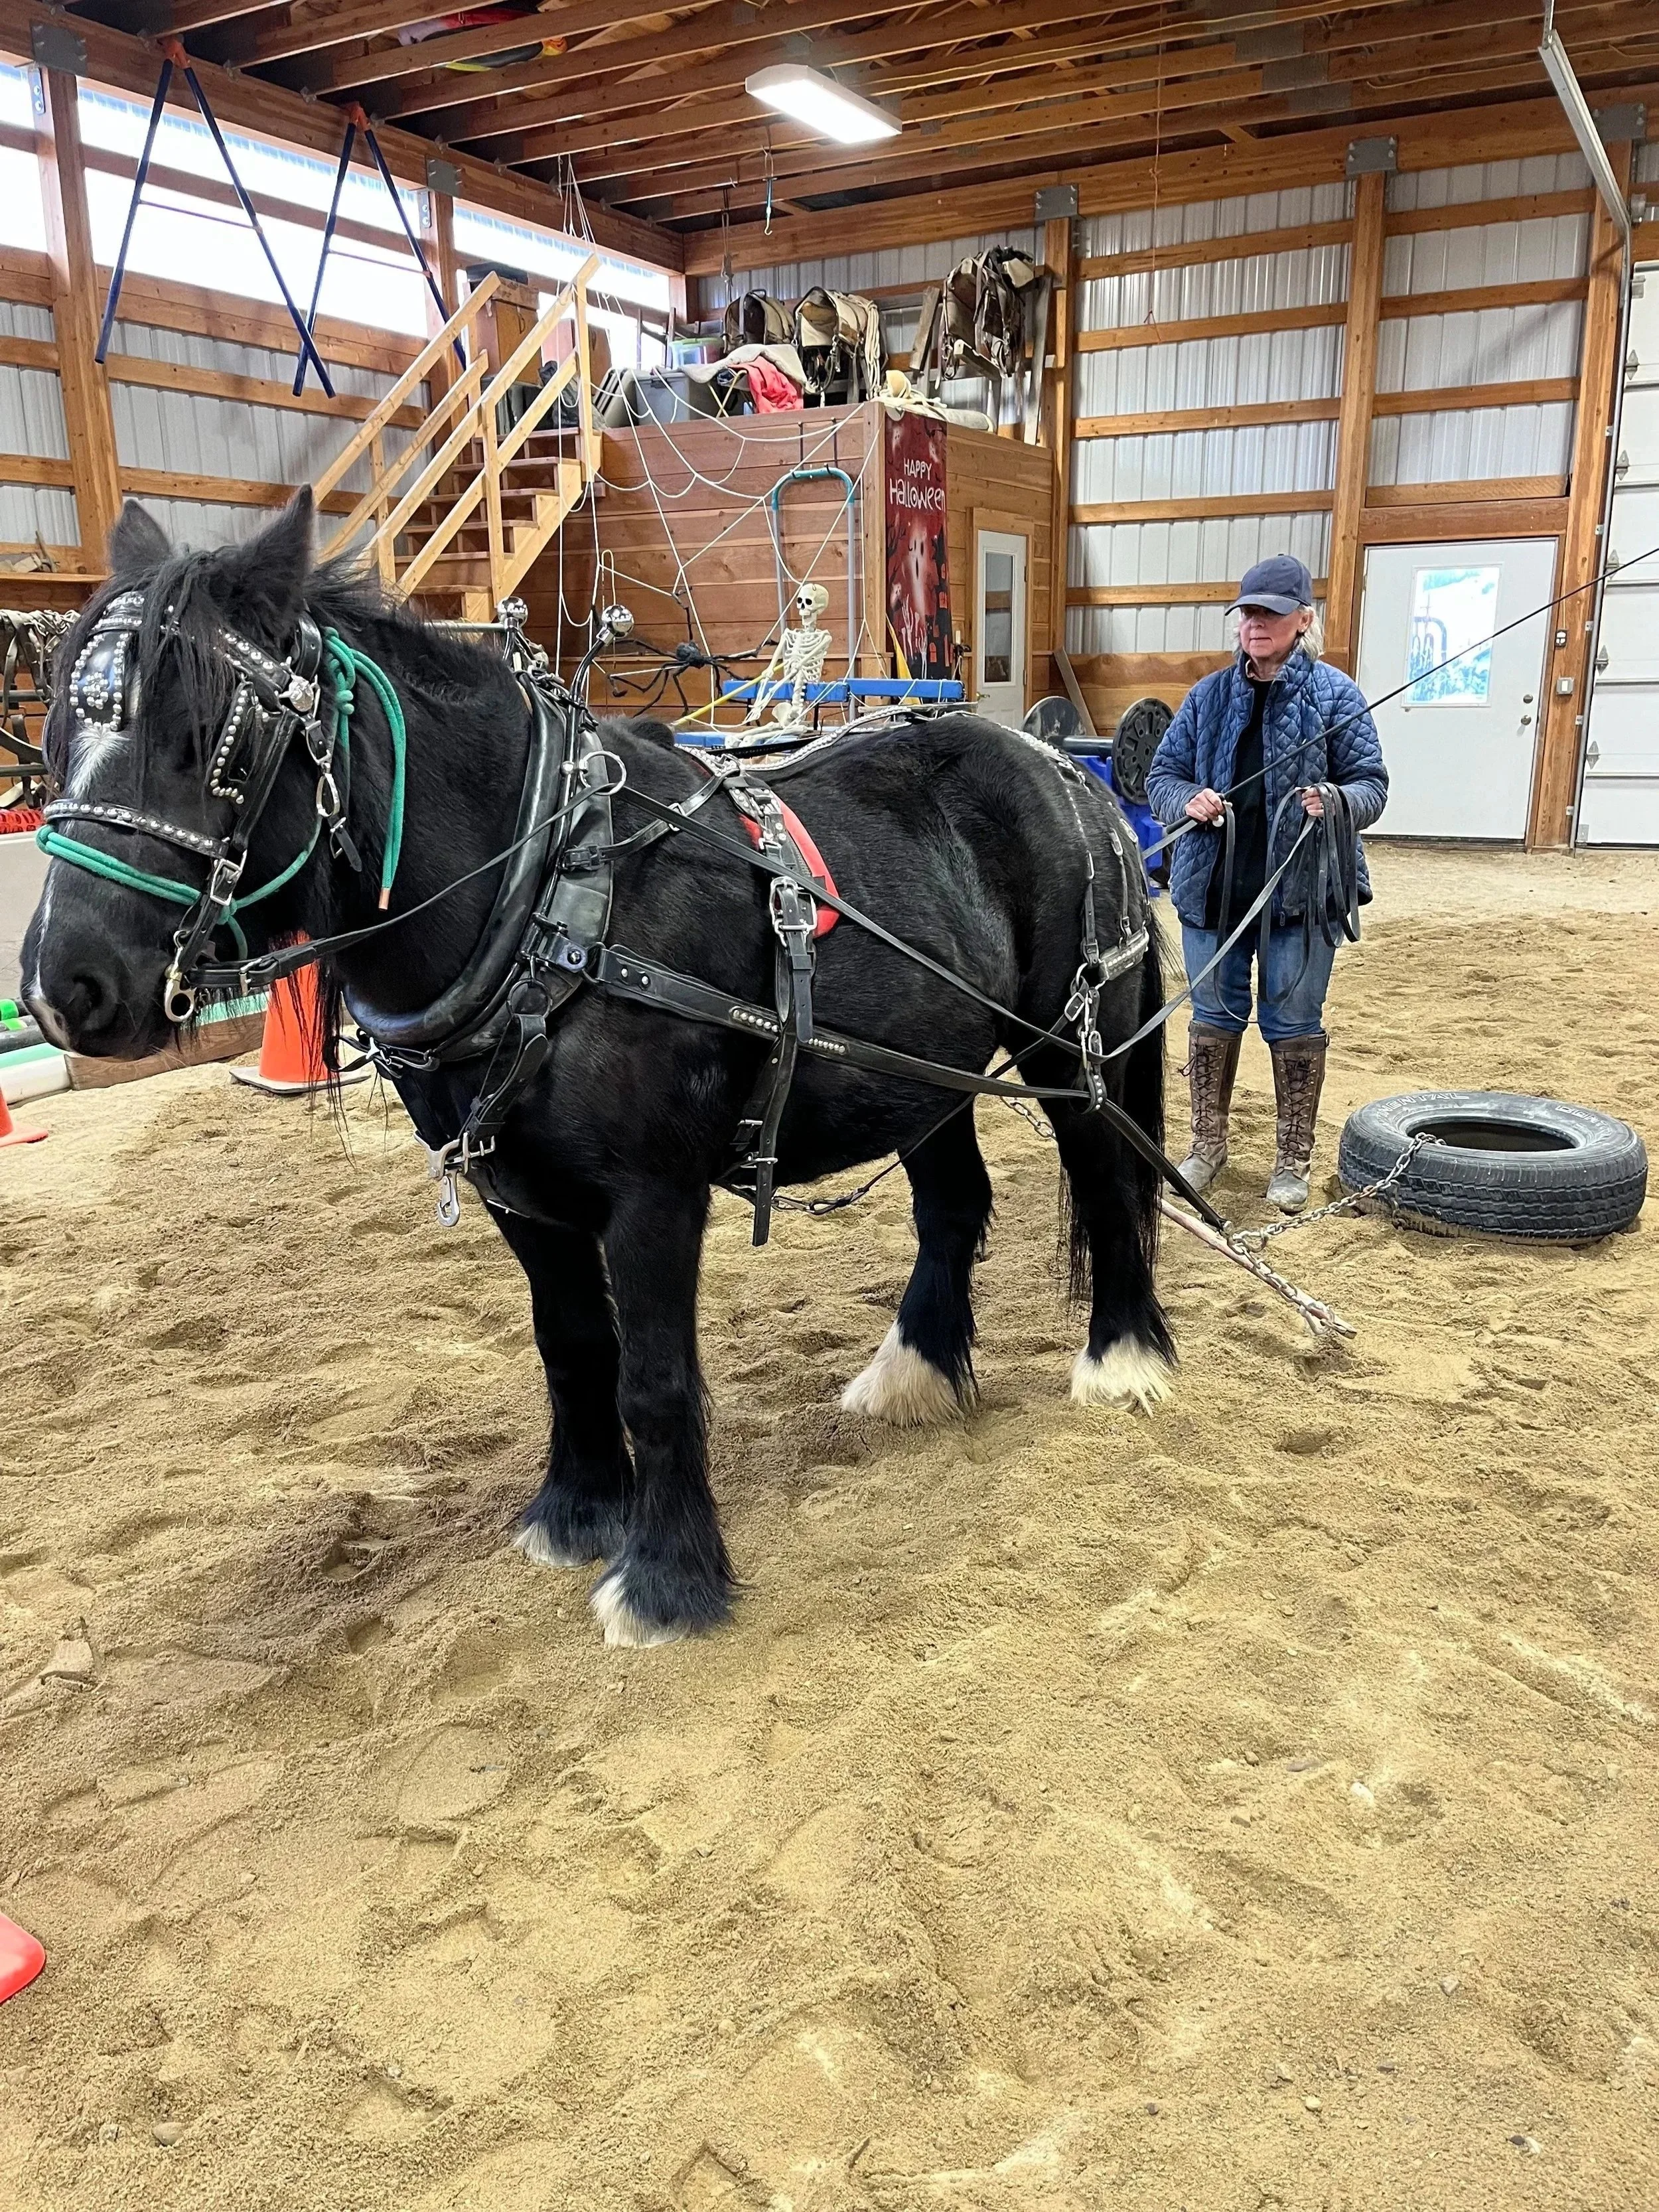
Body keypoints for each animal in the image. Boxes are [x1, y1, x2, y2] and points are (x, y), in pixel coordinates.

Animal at [22, 490, 1176, 1646]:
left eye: (213, 740)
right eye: (60, 734)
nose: (60, 986)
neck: (552, 891)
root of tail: (1067, 768)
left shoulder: (653, 1193)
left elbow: (655, 1378)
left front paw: (665, 1579)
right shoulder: (522, 1197)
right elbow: (573, 1347)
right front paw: (576, 1511)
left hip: (1073, 1051)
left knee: (1108, 1185)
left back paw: (1122, 1358)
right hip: (926, 1074)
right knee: (953, 1204)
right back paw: (914, 1374)